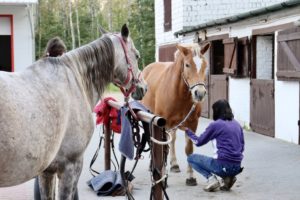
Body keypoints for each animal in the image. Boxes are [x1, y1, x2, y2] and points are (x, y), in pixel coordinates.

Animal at [142, 43, 210, 185]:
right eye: (187, 65)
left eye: (205, 65)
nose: (199, 93)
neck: (178, 93)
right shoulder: (162, 124)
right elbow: (162, 147)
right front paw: (162, 176)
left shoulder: (192, 124)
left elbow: (189, 149)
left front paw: (191, 177)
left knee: (172, 140)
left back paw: (174, 165)